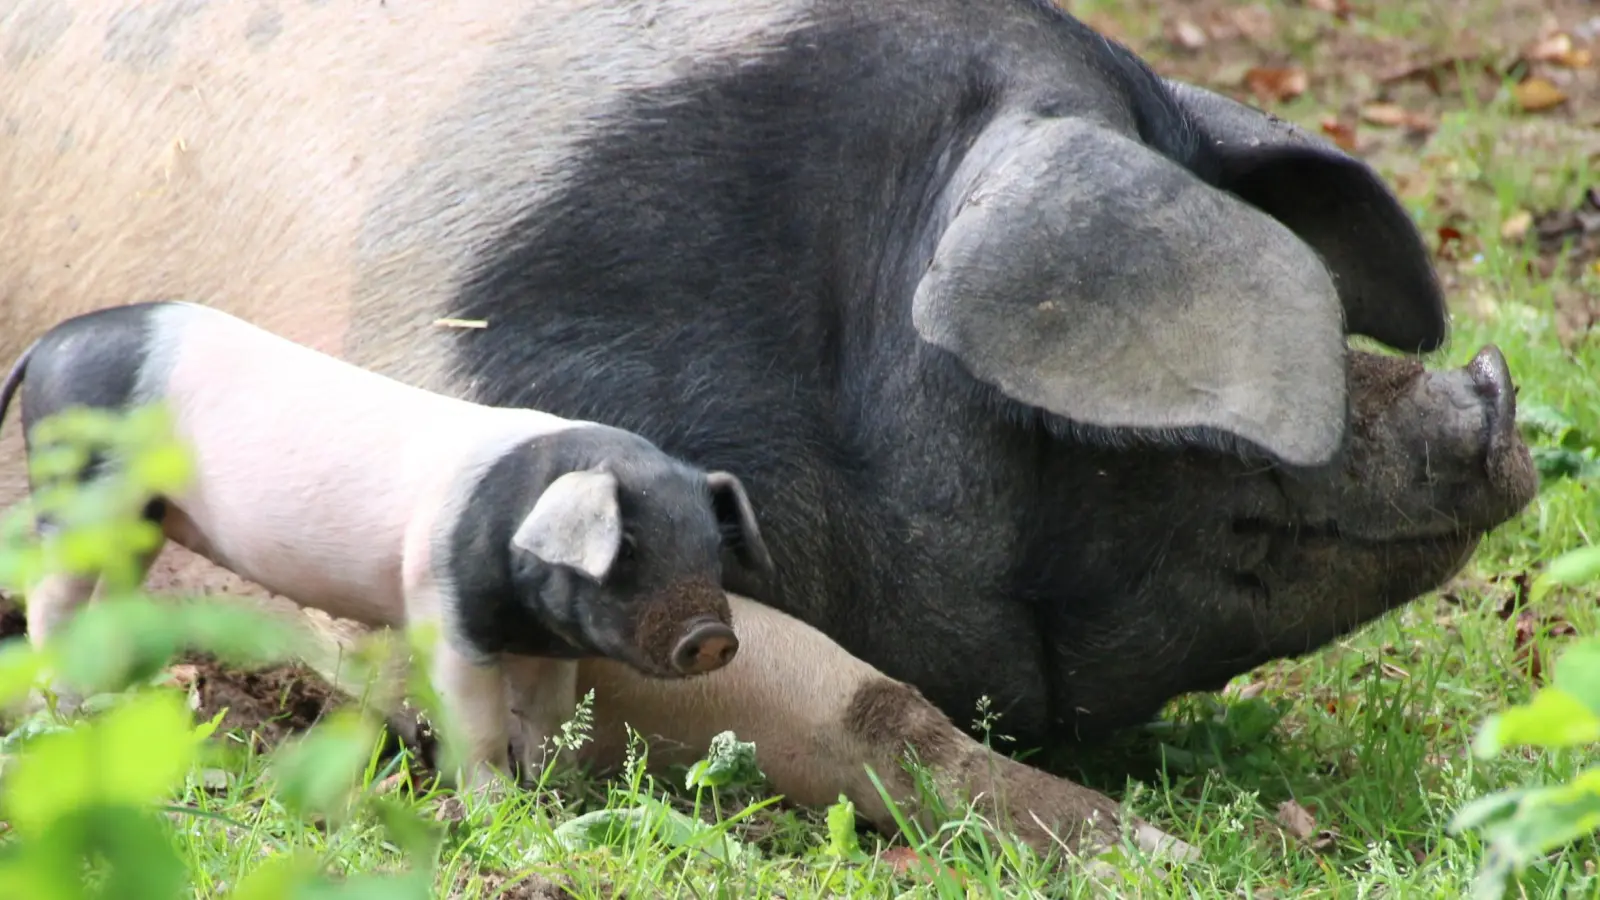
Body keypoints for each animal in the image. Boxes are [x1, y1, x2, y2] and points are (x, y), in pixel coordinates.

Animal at [0, 300, 773, 786]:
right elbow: (477, 722)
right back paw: (56, 712)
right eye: (627, 547)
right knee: (51, 592)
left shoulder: (547, 647)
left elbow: (549, 719)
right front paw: (493, 801)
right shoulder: (443, 609)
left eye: (711, 551)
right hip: (80, 484)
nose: (712, 637)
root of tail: (48, 344)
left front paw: (556, 793)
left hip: (141, 516)